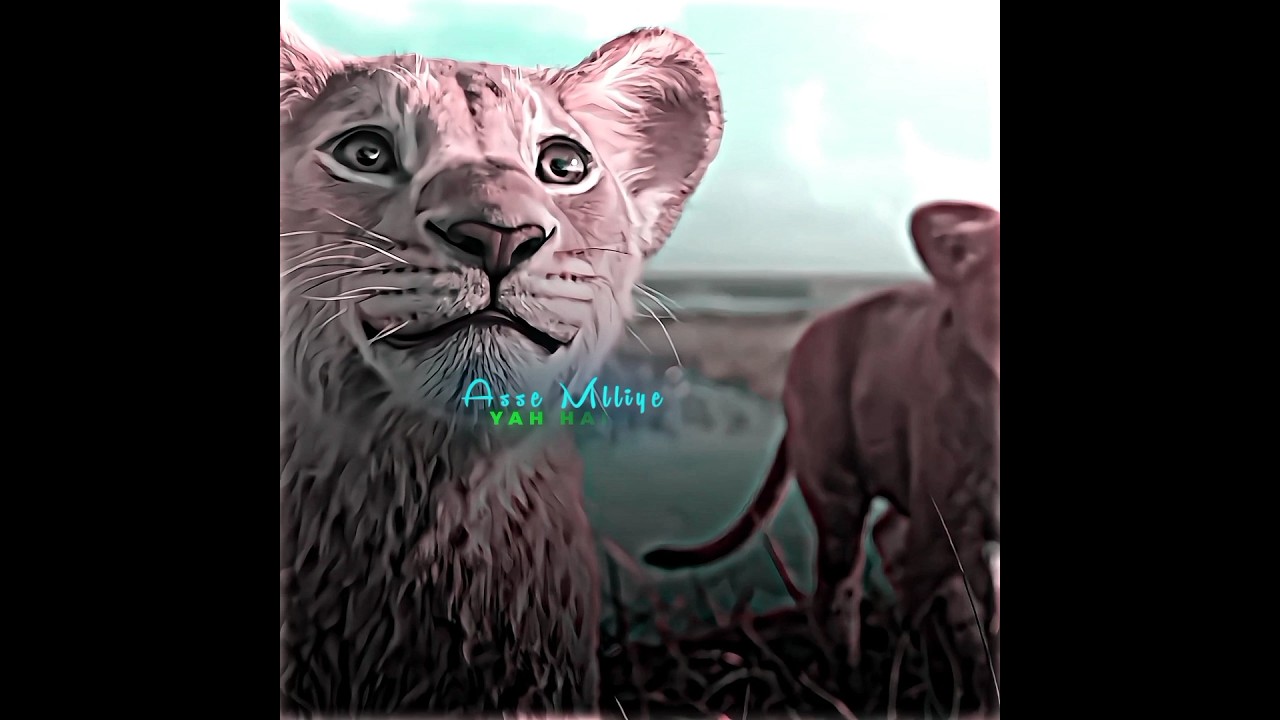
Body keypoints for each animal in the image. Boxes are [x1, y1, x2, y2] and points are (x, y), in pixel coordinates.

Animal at [643, 200, 1000, 714]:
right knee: (838, 593)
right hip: (839, 502)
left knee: (888, 543)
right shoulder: (950, 526)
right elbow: (971, 625)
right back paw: (850, 687)